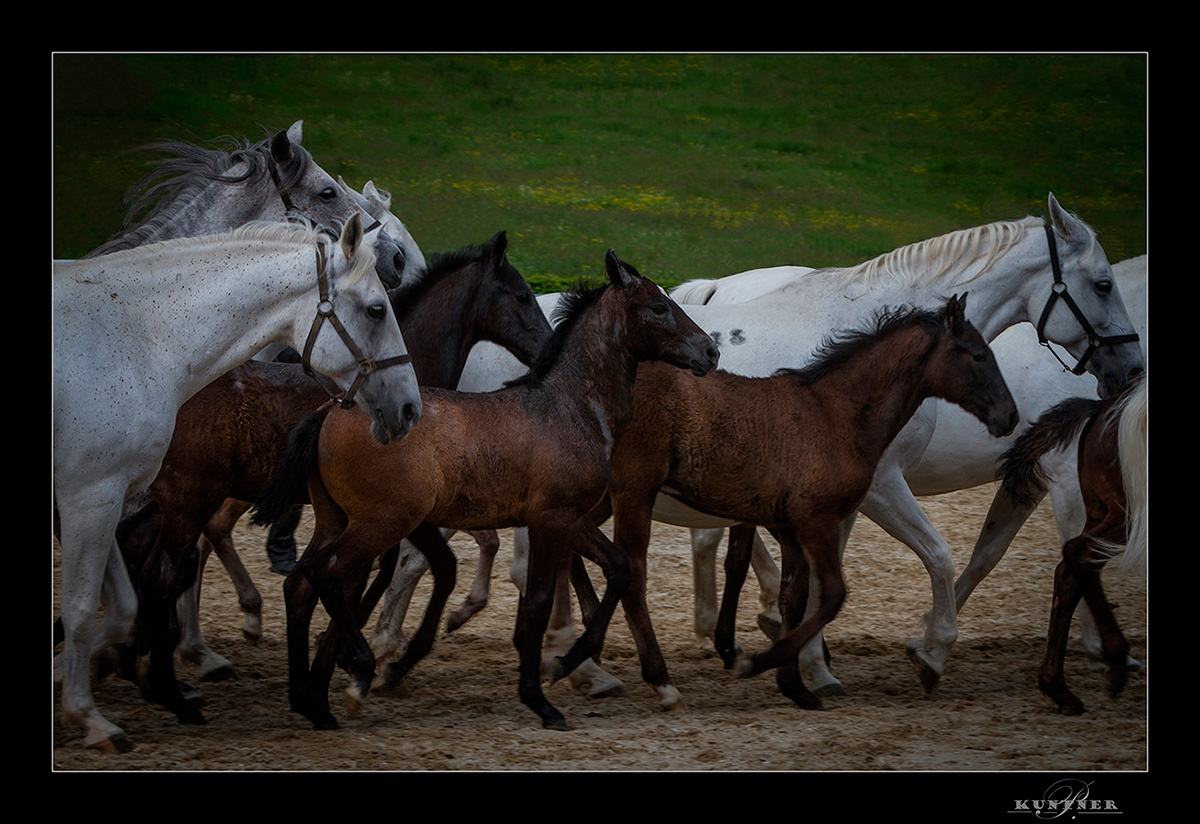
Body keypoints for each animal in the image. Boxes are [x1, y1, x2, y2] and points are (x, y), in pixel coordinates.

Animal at [55, 214, 422, 753]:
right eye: (376, 309)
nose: (410, 407)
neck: (139, 338)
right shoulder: (91, 497)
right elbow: (85, 608)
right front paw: (91, 714)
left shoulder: (95, 499)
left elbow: (118, 604)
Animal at [372, 193, 1142, 700]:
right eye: (1103, 283)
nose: (1130, 368)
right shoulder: (881, 485)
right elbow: (940, 557)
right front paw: (921, 654)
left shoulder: (831, 497)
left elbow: (816, 577)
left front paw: (808, 662)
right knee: (449, 557)